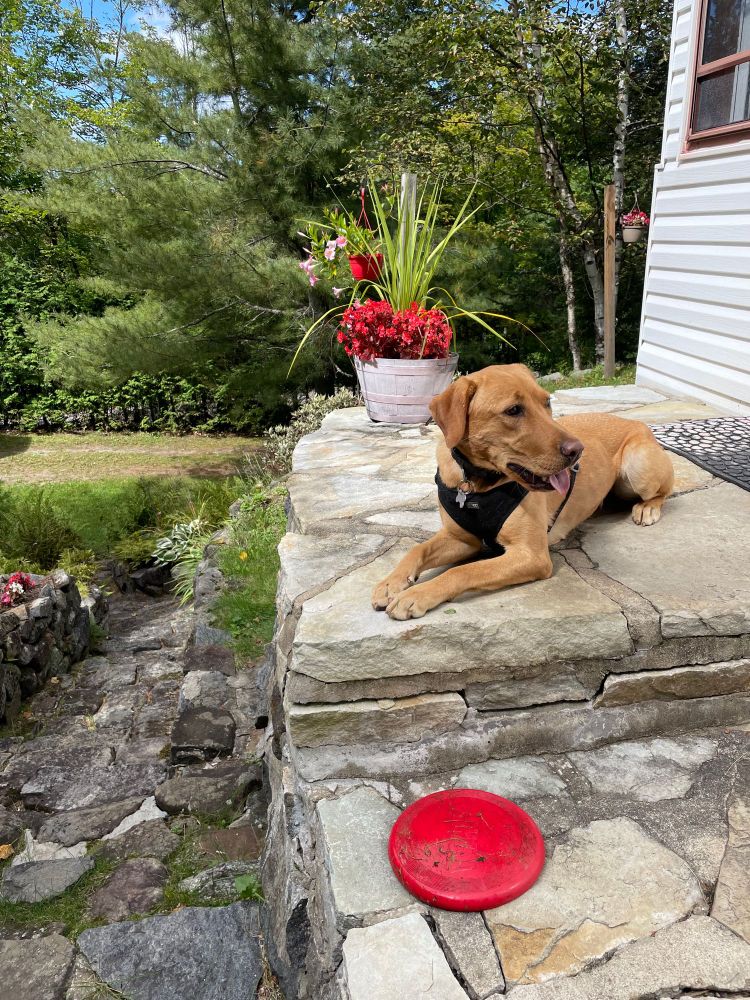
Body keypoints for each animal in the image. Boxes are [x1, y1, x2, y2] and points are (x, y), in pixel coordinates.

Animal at [372, 364, 674, 620]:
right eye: (514, 410)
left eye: (547, 401)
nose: (577, 451)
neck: (477, 485)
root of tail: (639, 423)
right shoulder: (460, 538)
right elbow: (417, 549)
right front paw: (391, 583)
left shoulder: (532, 556)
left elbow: (464, 570)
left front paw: (417, 594)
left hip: (639, 467)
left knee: (664, 491)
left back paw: (647, 508)